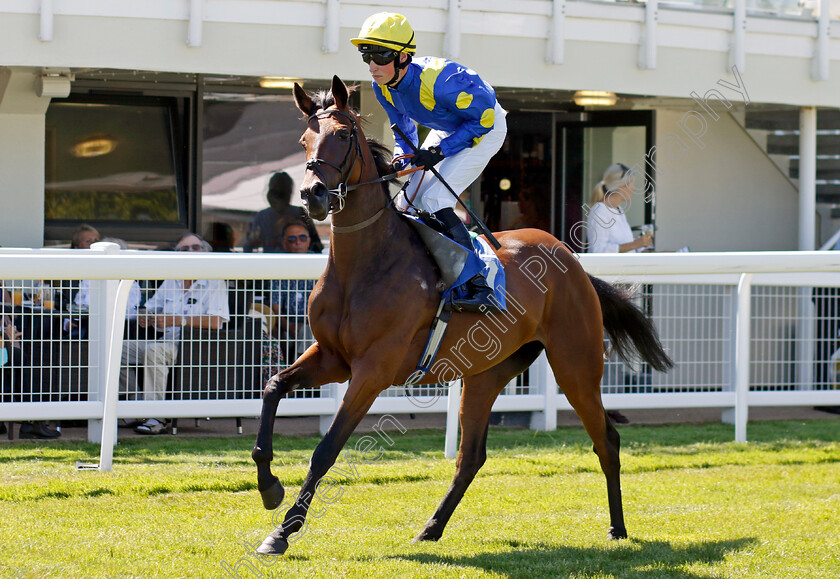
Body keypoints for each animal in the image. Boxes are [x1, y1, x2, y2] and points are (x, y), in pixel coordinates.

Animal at [253, 75, 672, 556]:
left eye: (342, 134)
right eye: (303, 140)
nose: (313, 194)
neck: (365, 263)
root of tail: (573, 261)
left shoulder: (372, 370)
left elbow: (326, 448)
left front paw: (282, 532)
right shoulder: (332, 357)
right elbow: (273, 386)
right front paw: (269, 488)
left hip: (575, 364)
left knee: (607, 439)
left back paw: (618, 528)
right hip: (487, 372)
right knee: (471, 455)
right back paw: (431, 527)